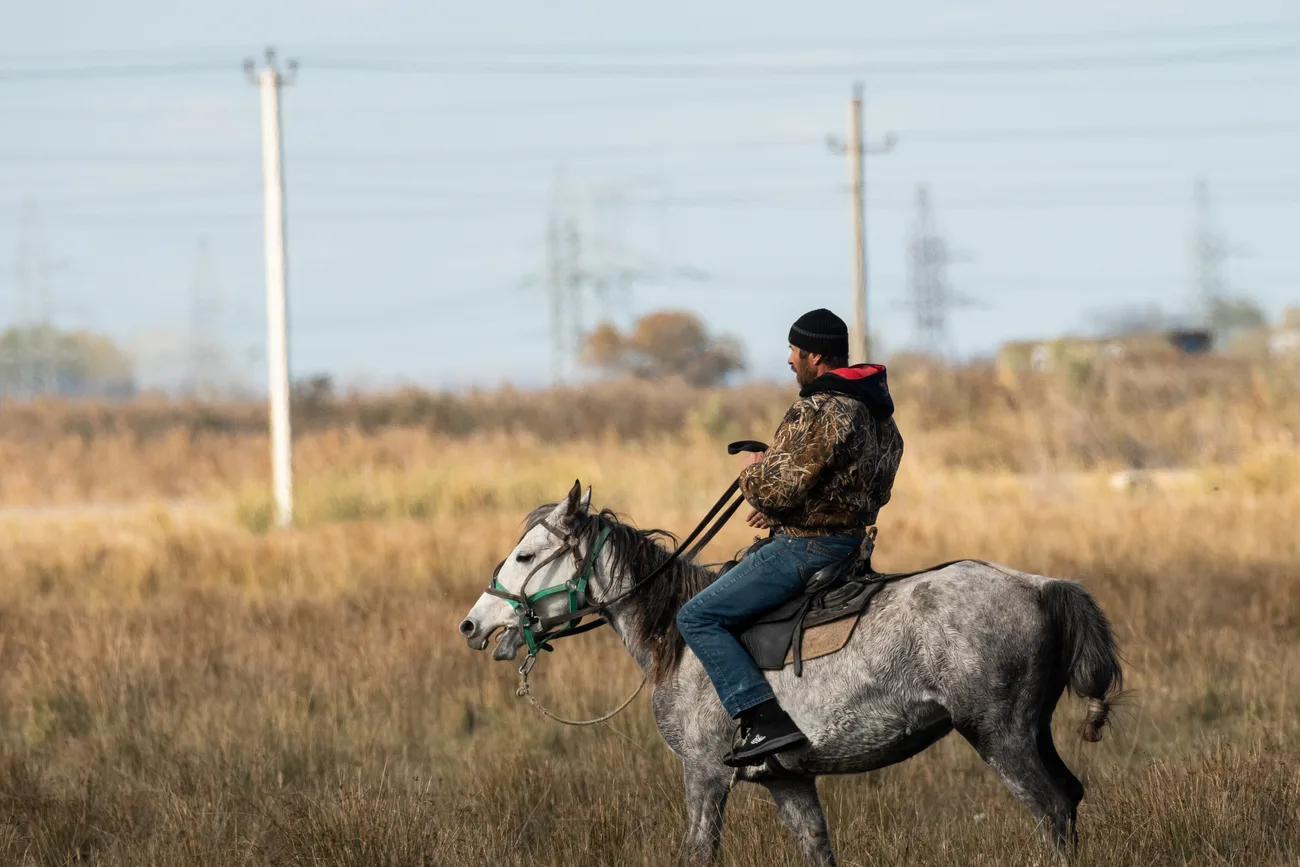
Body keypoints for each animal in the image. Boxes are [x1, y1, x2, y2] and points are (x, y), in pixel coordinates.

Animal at [459, 481, 1123, 865]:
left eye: (525, 555)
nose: (472, 624)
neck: (674, 633)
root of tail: (1041, 586)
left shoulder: (704, 772)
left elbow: (700, 851)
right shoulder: (790, 781)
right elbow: (817, 848)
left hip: (1000, 737)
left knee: (1052, 810)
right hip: (1031, 732)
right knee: (1070, 799)